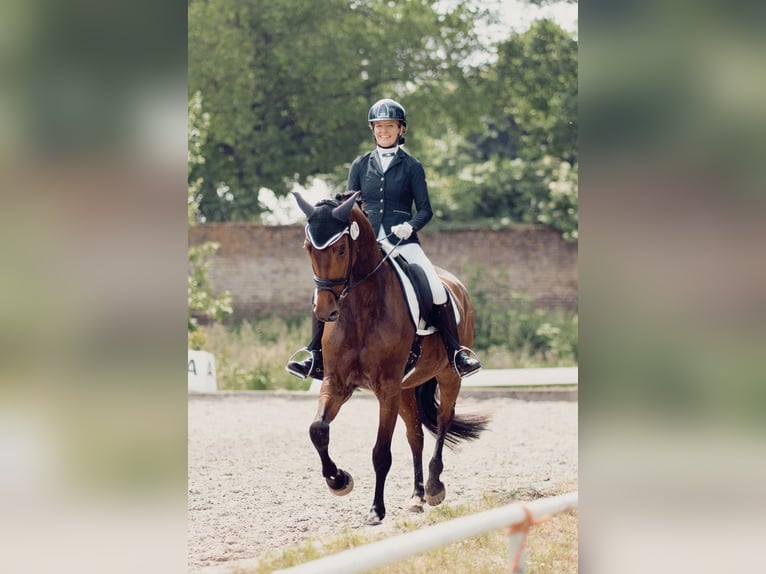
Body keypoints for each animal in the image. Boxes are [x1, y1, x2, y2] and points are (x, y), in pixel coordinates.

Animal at [293, 191, 489, 525]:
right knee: (416, 436)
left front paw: (376, 509)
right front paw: (339, 480)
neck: (360, 309)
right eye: (308, 248)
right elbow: (317, 430)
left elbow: (380, 452)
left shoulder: (386, 388)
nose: (324, 311)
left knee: (443, 420)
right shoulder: (337, 382)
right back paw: (416, 498)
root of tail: (455, 284)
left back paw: (434, 488)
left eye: (341, 249)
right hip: (407, 388)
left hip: (447, 376)